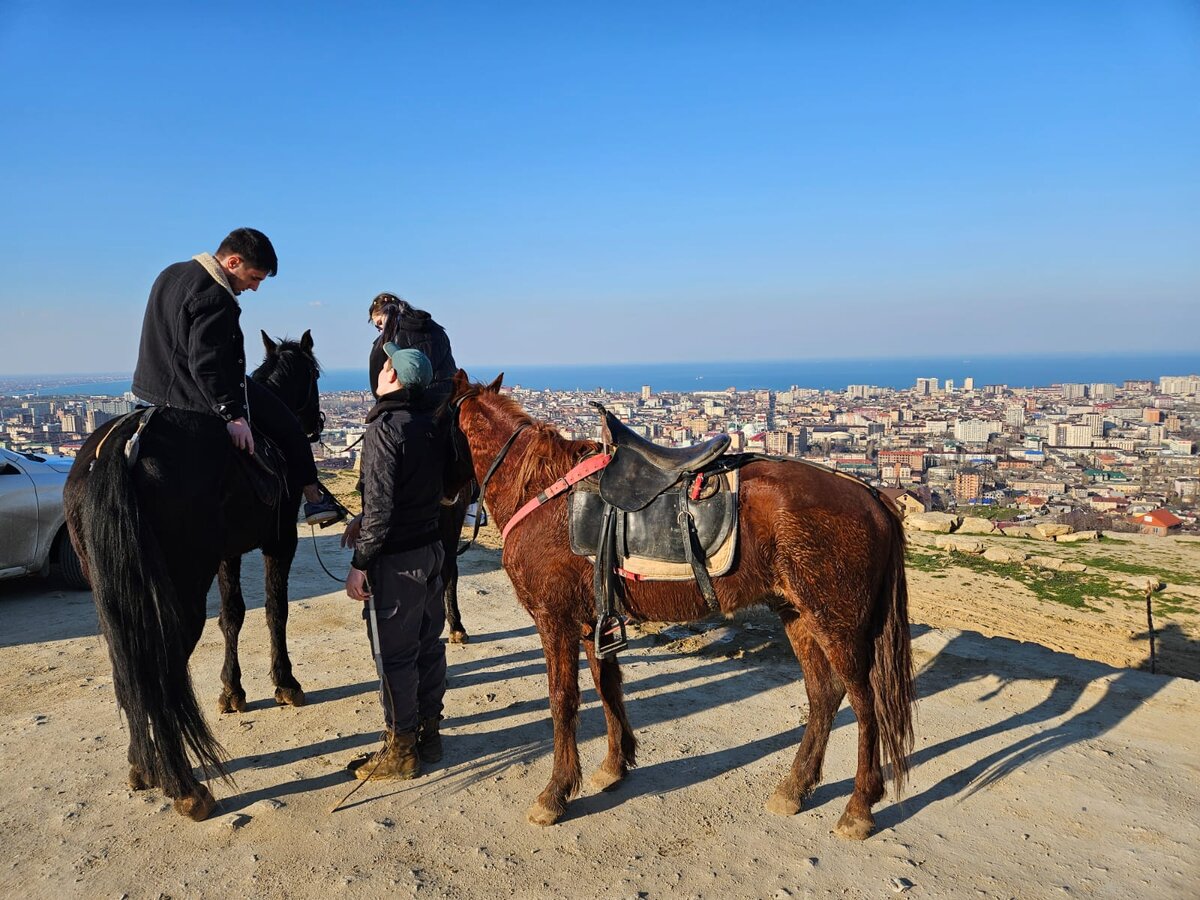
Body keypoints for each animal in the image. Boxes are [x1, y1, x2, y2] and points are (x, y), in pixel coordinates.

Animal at [63, 333, 326, 825]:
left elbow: (233, 615)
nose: (317, 423)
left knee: (127, 667)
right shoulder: (281, 539)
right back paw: (184, 786)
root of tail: (123, 443)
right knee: (160, 672)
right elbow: (275, 609)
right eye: (316, 375)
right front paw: (285, 683)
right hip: (181, 592)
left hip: (111, 592)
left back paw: (141, 764)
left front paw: (232, 690)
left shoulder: (226, 553)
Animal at [448, 372, 907, 840]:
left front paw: (555, 793)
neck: (539, 487)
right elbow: (607, 685)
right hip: (797, 612)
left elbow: (563, 699)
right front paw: (614, 766)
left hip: (837, 621)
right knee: (824, 694)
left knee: (865, 703)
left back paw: (858, 806)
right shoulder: (592, 618)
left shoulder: (553, 618)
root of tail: (872, 497)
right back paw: (794, 788)